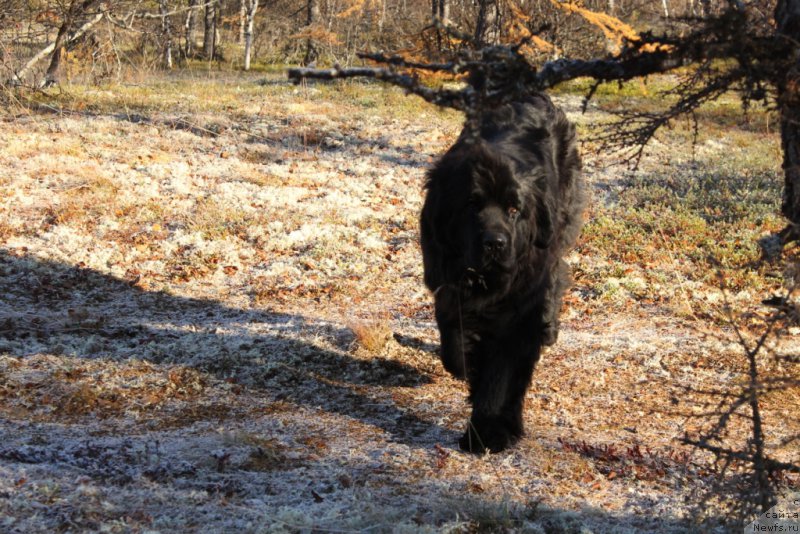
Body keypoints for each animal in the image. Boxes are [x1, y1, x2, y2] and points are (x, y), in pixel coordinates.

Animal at [422, 94, 584, 454]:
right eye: (472, 205)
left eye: (514, 210)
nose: (495, 243)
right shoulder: (446, 284)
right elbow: (454, 340)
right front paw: (464, 364)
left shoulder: (518, 313)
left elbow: (501, 375)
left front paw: (486, 433)